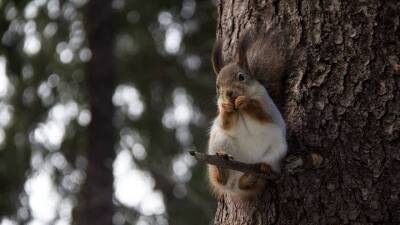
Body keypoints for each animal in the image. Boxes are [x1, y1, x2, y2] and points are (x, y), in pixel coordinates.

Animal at [206, 30, 288, 200]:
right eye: (218, 86)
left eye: (241, 77)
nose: (228, 94)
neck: (239, 111)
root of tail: (233, 188)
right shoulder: (221, 114)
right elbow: (225, 124)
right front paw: (227, 107)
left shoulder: (267, 106)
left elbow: (261, 114)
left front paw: (245, 101)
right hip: (219, 141)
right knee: (220, 179)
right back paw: (222, 167)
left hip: (277, 150)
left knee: (251, 180)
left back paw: (257, 173)